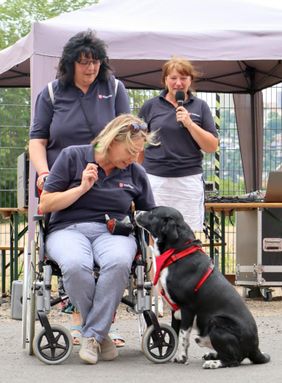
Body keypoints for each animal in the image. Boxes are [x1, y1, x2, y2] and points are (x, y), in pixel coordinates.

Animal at [135, 207, 270, 368]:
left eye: (152, 212)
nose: (136, 211)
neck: (178, 252)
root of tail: (255, 348)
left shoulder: (186, 308)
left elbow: (183, 336)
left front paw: (181, 357)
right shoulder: (175, 310)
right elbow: (174, 333)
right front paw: (168, 352)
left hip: (216, 323)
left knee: (234, 360)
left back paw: (213, 363)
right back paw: (212, 355)